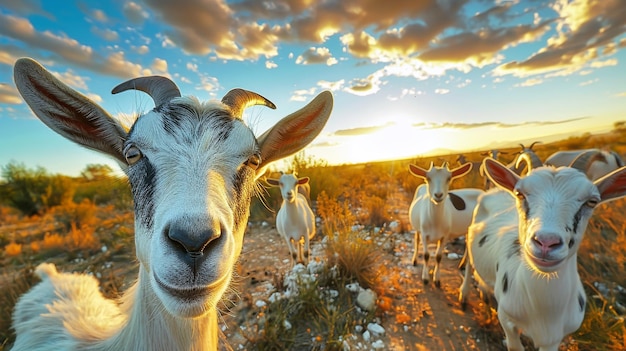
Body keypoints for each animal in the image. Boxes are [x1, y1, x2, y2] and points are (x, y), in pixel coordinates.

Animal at [456, 153, 626, 351]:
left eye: (592, 201)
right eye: (520, 193)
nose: (546, 242)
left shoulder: (554, 339)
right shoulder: (506, 319)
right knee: (469, 263)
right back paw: (464, 295)